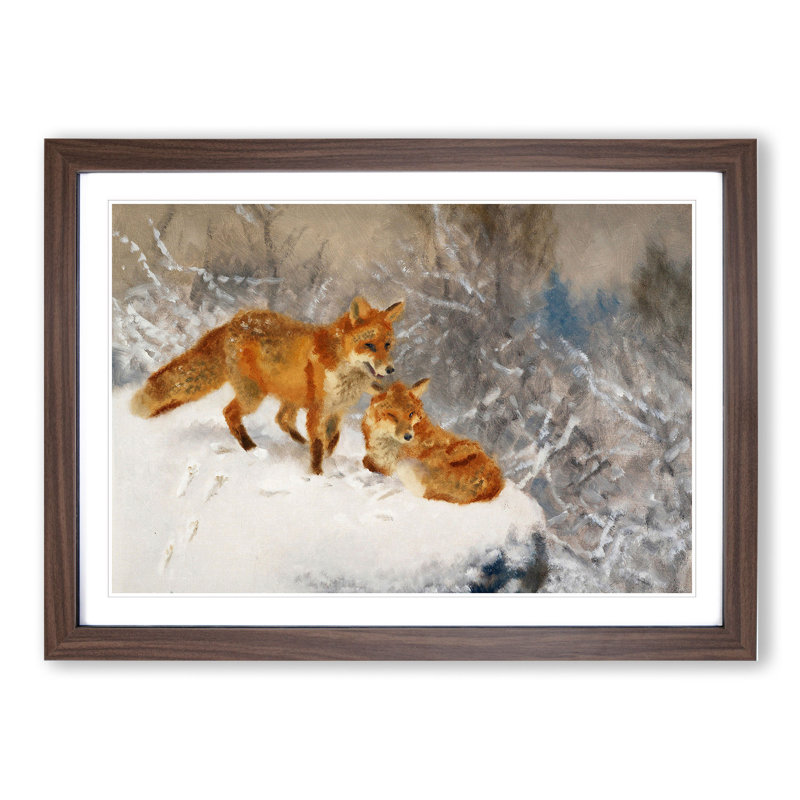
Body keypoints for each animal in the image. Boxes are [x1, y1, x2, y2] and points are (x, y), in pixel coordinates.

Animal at [131, 296, 405, 474]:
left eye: (387, 345)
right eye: (369, 345)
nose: (390, 369)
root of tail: (233, 322)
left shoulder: (337, 410)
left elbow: (332, 438)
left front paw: (327, 455)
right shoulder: (318, 409)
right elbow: (319, 445)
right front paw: (317, 474)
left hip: (288, 395)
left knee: (281, 418)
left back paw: (295, 442)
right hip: (254, 396)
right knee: (230, 413)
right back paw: (250, 448)